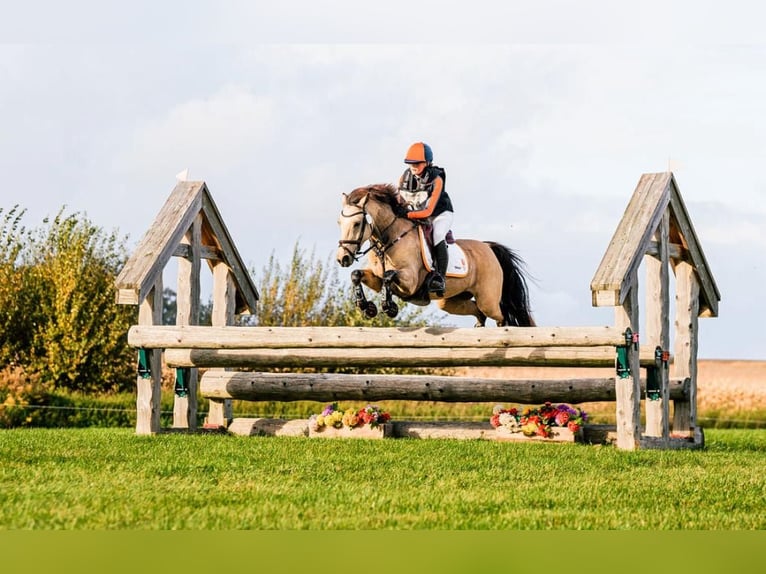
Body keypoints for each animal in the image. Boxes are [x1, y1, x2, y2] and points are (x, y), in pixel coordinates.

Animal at [332, 184, 536, 328]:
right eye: (339, 222)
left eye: (357, 223)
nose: (343, 258)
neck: (389, 241)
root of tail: (488, 247)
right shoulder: (376, 278)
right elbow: (357, 275)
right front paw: (366, 306)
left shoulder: (410, 282)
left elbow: (389, 276)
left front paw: (388, 306)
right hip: (449, 301)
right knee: (479, 312)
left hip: (488, 300)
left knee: (501, 315)